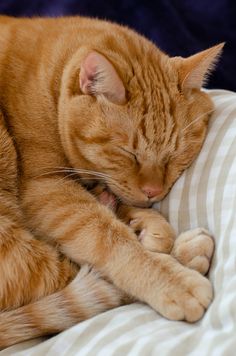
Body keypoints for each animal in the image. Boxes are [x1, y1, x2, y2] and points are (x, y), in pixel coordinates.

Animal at [0, 16, 222, 348]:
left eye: (175, 154)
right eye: (128, 153)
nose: (153, 191)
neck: (50, 82)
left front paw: (144, 221)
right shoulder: (46, 188)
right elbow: (109, 238)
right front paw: (171, 278)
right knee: (73, 279)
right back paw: (189, 252)